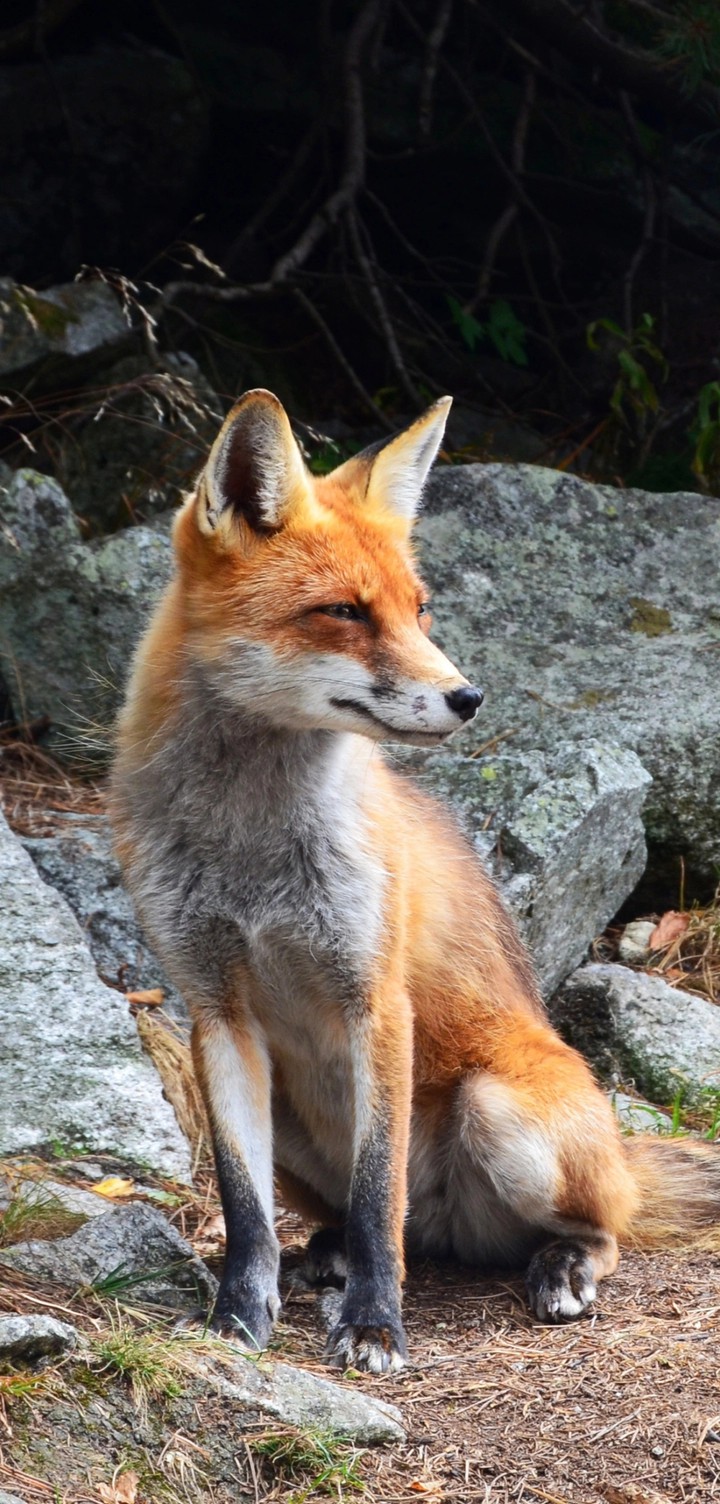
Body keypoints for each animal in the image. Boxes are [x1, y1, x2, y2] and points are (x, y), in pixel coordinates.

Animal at [110, 388, 720, 1374]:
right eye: (345, 612)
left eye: (420, 609)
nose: (469, 697)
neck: (252, 852)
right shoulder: (215, 1012)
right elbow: (244, 1213)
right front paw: (237, 1320)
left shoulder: (375, 1000)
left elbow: (376, 1196)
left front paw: (374, 1325)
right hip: (288, 1120)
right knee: (385, 1228)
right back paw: (322, 1258)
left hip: (501, 1113)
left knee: (591, 1227)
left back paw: (560, 1267)